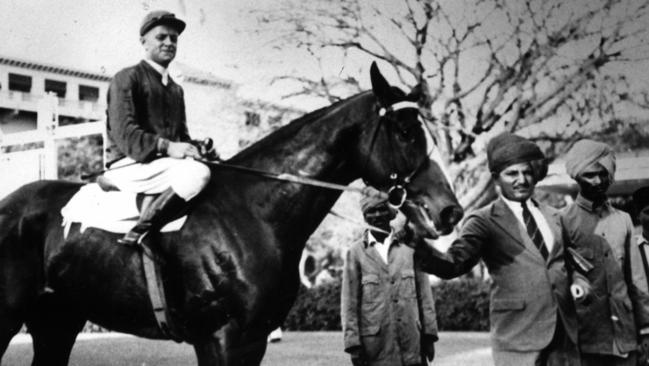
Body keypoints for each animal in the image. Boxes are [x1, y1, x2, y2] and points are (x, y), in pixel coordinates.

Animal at [0, 61, 460, 364]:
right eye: (406, 132)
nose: (450, 211)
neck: (256, 211)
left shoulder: (251, 339)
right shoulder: (223, 337)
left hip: (57, 321)